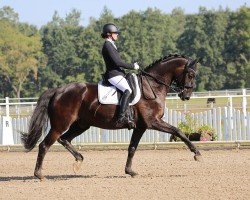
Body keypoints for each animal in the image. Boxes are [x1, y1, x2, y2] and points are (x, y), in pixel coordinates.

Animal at [21, 53, 201, 180]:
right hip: (60, 124)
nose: (186, 96)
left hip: (81, 125)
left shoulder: (141, 126)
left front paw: (130, 171)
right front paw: (197, 153)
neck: (152, 86)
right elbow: (178, 131)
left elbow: (132, 148)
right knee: (45, 145)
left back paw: (79, 160)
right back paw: (39, 175)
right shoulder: (153, 122)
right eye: (191, 74)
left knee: (64, 139)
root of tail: (58, 90)